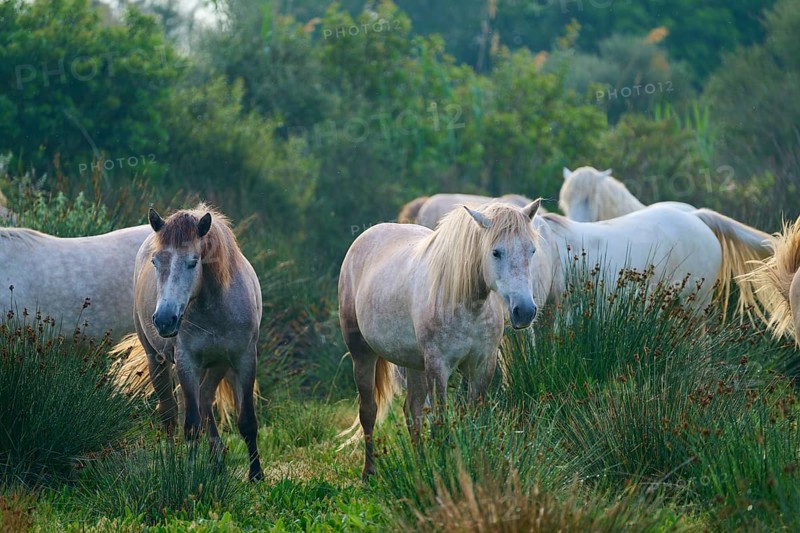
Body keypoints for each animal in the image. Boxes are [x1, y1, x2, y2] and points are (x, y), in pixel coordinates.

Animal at [112, 204, 263, 481]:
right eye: (155, 261)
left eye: (193, 262)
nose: (164, 320)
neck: (215, 305)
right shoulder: (186, 361)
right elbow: (191, 424)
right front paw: (188, 474)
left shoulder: (243, 359)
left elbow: (246, 420)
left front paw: (256, 475)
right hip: (157, 360)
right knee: (170, 413)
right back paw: (173, 460)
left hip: (217, 364)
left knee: (203, 399)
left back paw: (217, 460)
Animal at [339, 200, 543, 479]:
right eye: (496, 252)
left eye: (531, 250)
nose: (524, 311)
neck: (466, 302)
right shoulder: (438, 367)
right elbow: (441, 422)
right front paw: (445, 467)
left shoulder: (481, 365)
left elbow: (472, 418)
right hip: (362, 353)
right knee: (368, 411)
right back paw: (369, 473)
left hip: (414, 364)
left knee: (412, 411)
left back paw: (420, 465)